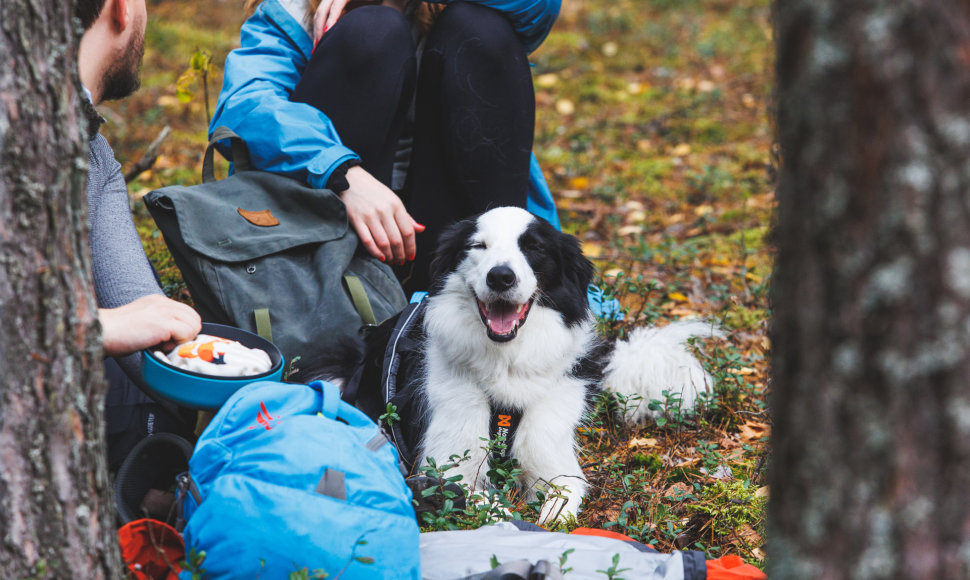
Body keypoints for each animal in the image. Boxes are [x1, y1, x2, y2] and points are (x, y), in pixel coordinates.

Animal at [314, 206, 716, 524]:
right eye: (478, 246)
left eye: (534, 248)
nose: (501, 276)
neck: (505, 361)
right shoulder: (443, 463)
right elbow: (481, 500)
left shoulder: (553, 456)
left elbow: (564, 493)